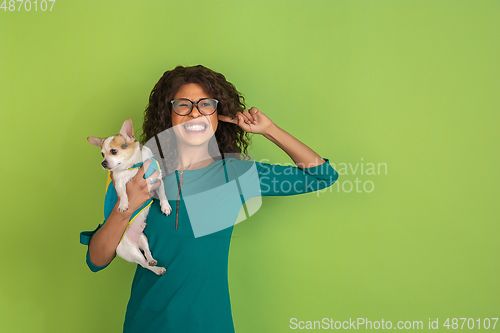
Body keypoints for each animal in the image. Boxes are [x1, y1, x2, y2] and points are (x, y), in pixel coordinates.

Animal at [87, 118, 171, 274]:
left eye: (113, 151)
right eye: (102, 154)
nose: (103, 163)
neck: (134, 166)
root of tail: (134, 241)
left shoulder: (157, 180)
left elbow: (162, 193)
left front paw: (165, 206)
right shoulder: (119, 182)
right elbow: (124, 193)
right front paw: (124, 205)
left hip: (143, 239)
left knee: (147, 253)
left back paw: (152, 261)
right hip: (131, 252)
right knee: (143, 264)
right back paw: (157, 270)